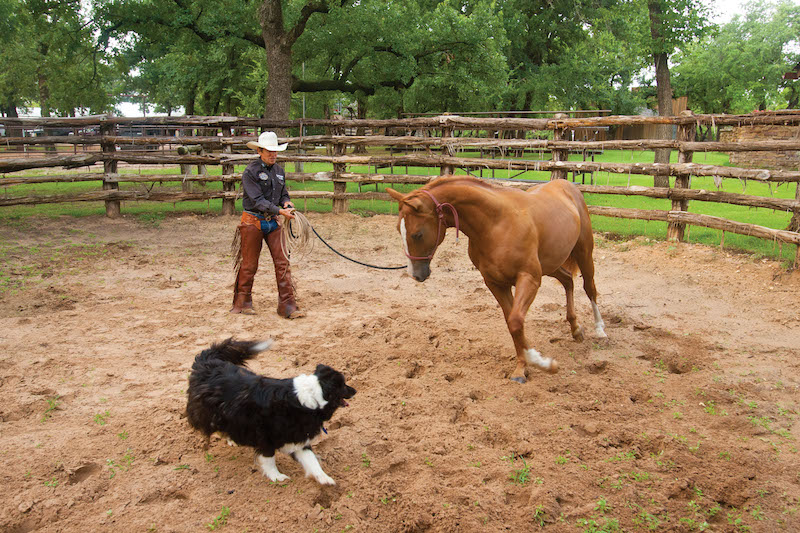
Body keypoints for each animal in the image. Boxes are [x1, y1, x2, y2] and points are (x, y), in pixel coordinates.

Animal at [386, 176, 607, 383]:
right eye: (398, 230)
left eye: (417, 234)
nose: (416, 274)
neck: (496, 224)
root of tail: (567, 186)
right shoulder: (496, 284)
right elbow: (513, 325)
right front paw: (521, 369)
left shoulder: (530, 279)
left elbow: (516, 321)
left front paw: (543, 363)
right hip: (551, 265)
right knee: (568, 280)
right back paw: (576, 330)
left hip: (583, 253)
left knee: (589, 288)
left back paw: (600, 330)